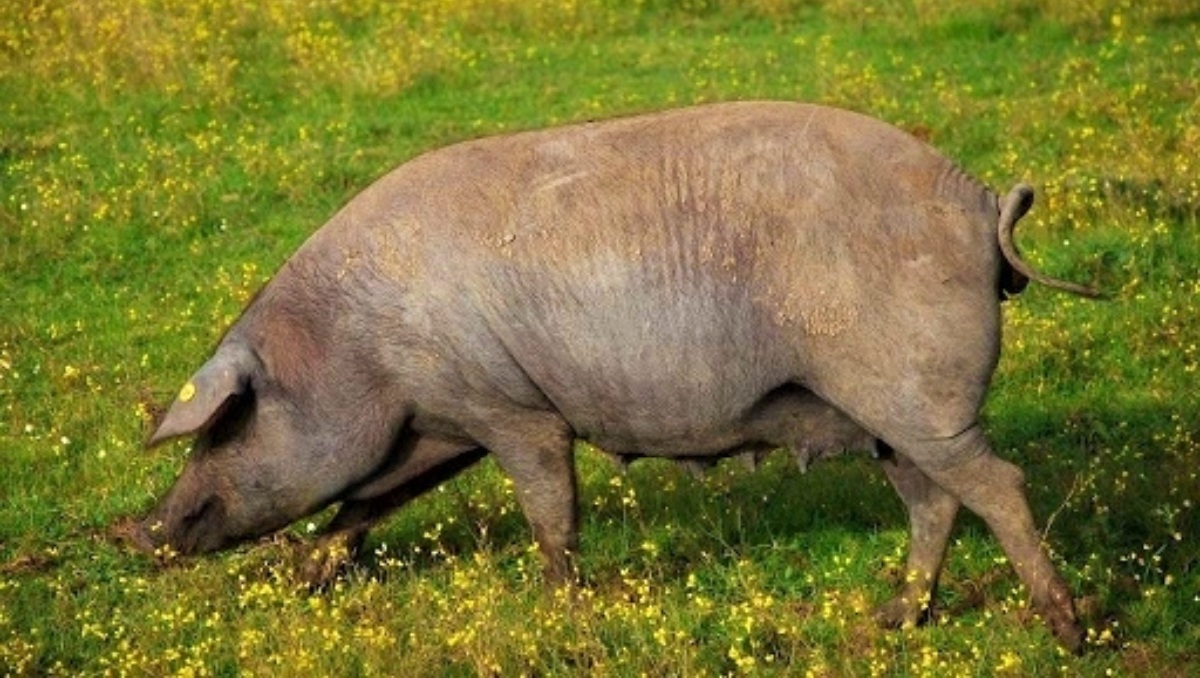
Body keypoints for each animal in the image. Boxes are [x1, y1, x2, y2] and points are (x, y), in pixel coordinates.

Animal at [125, 101, 1097, 651]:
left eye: (227, 422)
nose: (138, 533)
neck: (356, 343)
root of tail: (978, 199)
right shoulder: (442, 417)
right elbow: (368, 499)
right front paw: (309, 576)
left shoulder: (512, 409)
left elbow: (549, 509)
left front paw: (561, 609)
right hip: (887, 414)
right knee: (935, 502)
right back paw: (894, 620)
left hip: (919, 396)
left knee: (998, 484)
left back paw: (1070, 632)